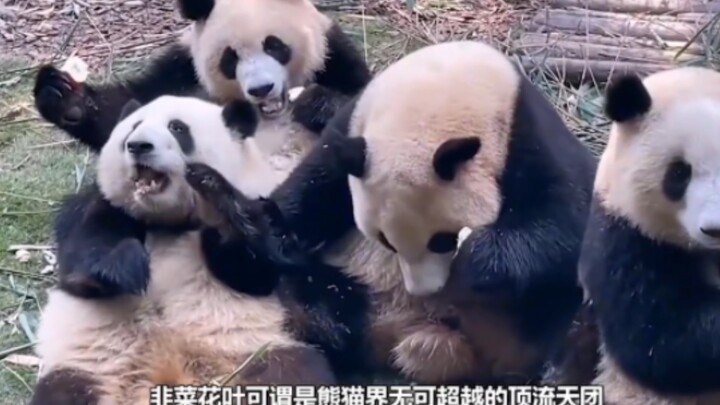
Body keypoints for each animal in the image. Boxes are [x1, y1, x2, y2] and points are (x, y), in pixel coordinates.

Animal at [30, 95, 367, 405]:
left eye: (177, 128)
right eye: (133, 128)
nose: (138, 146)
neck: (170, 223)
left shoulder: (271, 212)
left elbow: (255, 269)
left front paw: (218, 200)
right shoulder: (102, 209)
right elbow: (84, 255)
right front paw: (124, 267)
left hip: (263, 353)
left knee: (291, 374)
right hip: (92, 369)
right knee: (65, 392)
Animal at [37, 0, 371, 300]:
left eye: (274, 46)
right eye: (230, 58)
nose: (261, 89)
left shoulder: (334, 58)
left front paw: (316, 102)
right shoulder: (181, 71)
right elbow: (123, 111)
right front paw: (66, 99)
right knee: (91, 214)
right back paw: (107, 268)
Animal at [190, 40, 598, 384]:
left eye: (442, 240)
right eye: (384, 241)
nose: (426, 291)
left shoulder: (531, 140)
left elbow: (564, 226)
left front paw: (474, 264)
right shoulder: (352, 125)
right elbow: (311, 192)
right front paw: (259, 223)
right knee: (286, 286)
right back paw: (227, 215)